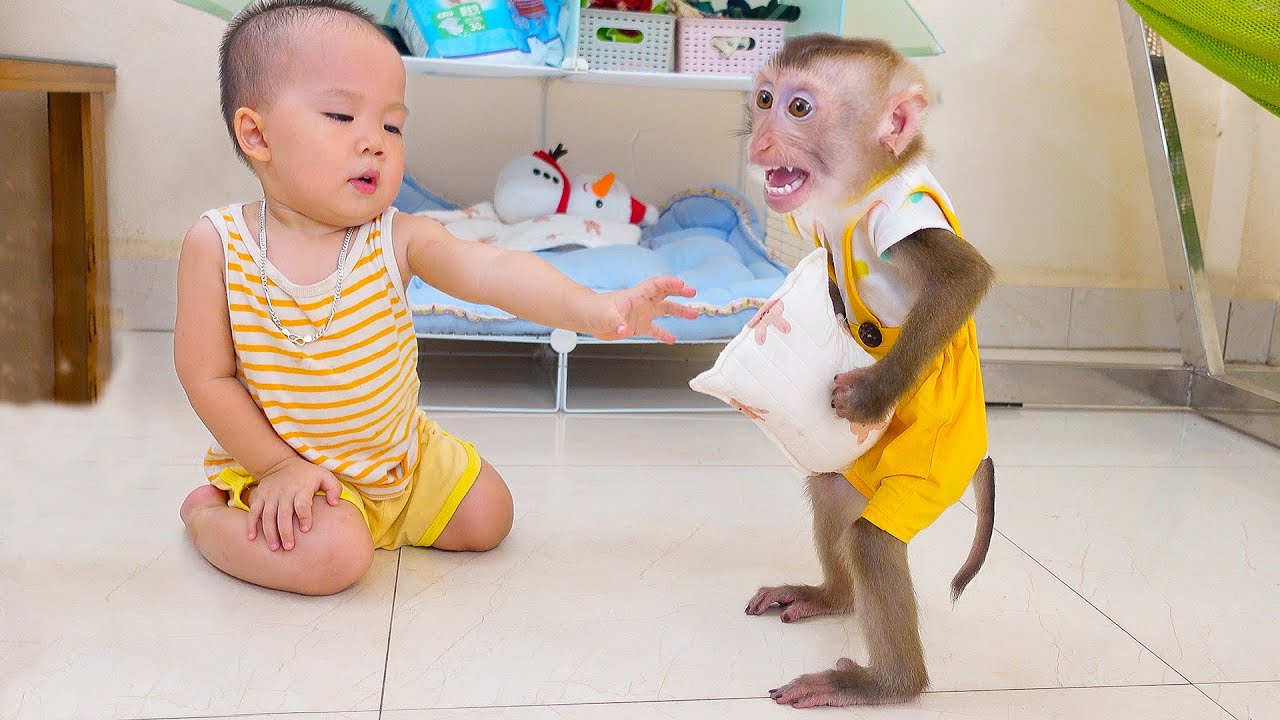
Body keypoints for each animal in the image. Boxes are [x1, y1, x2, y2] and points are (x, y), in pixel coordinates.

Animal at [740, 34, 998, 708]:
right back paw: (832, 596)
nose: (759, 140)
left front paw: (870, 393)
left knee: (872, 541)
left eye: (799, 108)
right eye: (765, 99)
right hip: (859, 465)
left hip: (930, 466)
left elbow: (962, 277)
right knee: (832, 490)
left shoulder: (900, 217)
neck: (860, 189)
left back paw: (887, 683)